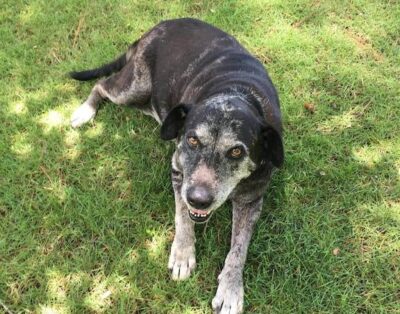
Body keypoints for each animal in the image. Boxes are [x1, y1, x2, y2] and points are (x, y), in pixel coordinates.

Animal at [69, 17, 284, 314]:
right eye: (192, 140)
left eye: (236, 151)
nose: (199, 199)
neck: (235, 93)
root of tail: (152, 29)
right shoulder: (179, 173)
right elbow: (183, 215)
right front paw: (183, 254)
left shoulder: (251, 200)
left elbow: (239, 248)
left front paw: (230, 287)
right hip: (134, 86)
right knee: (102, 85)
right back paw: (86, 110)